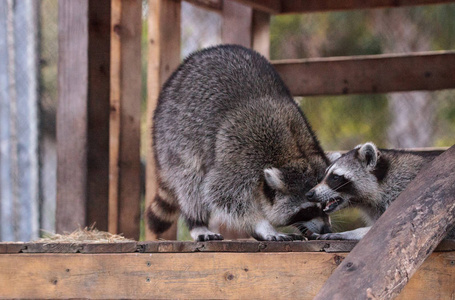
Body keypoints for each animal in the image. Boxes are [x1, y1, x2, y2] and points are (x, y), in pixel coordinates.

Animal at [149, 44, 332, 241]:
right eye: (309, 209)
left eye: (327, 205)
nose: (327, 229)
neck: (293, 153)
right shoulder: (242, 154)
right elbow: (220, 193)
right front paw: (263, 226)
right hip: (174, 134)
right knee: (190, 179)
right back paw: (197, 222)